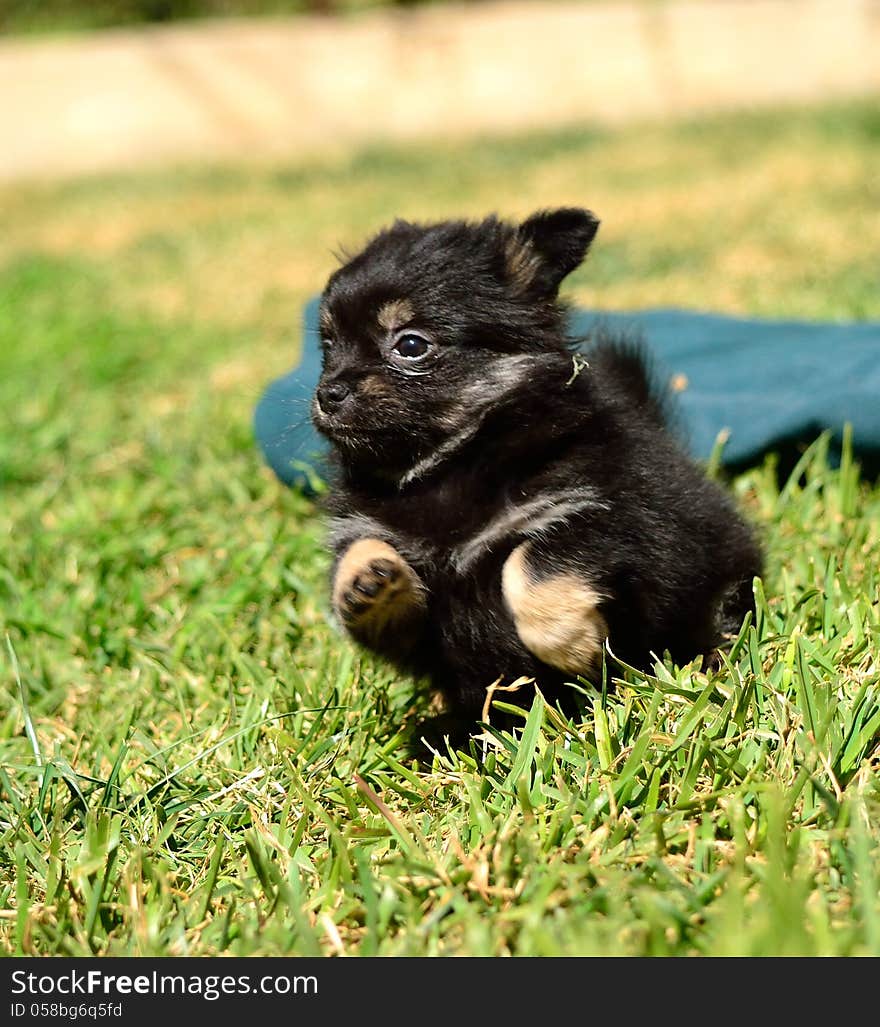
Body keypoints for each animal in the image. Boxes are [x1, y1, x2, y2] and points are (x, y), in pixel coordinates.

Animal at [310, 208, 763, 735]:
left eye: (411, 345)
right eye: (328, 347)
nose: (328, 393)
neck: (449, 464)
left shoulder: (600, 514)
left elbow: (529, 567)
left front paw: (574, 647)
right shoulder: (402, 584)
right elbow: (363, 553)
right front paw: (365, 582)